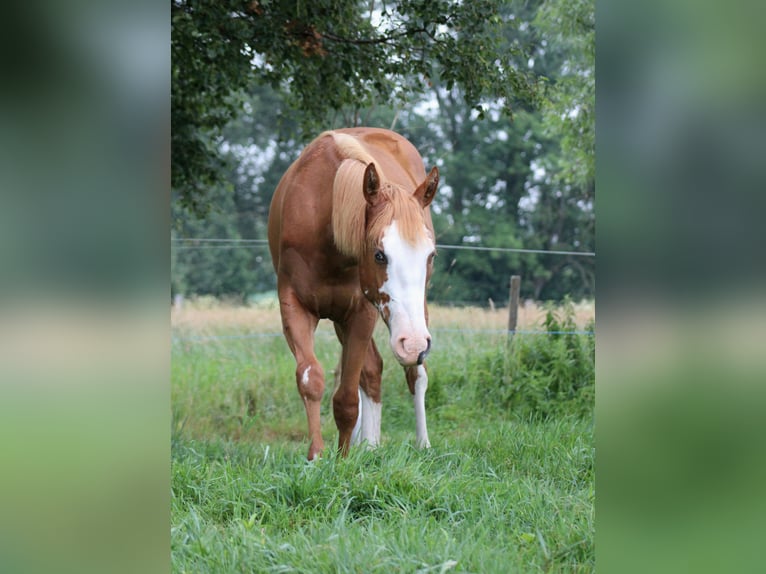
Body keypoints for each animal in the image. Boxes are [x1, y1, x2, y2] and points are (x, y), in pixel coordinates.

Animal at [268, 127, 439, 460]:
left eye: (431, 255)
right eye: (379, 254)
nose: (412, 344)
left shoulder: (361, 312)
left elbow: (347, 398)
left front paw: (343, 458)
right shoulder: (294, 307)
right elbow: (311, 378)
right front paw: (318, 455)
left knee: (416, 374)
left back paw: (423, 444)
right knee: (373, 370)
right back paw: (370, 444)